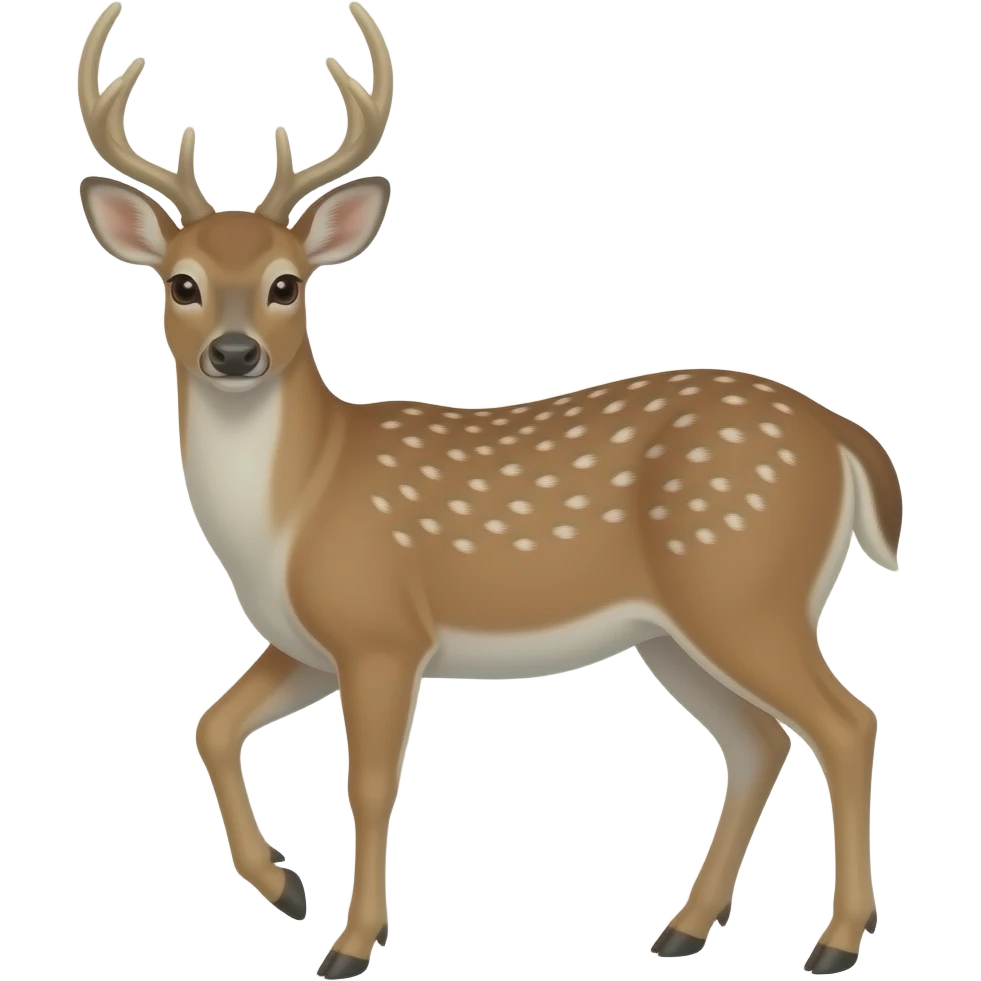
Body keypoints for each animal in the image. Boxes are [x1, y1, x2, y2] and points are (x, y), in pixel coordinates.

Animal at [76, 3, 900, 977]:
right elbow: (212, 722)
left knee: (844, 722)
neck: (296, 503)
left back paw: (835, 940)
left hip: (744, 588)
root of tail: (842, 436)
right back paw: (684, 928)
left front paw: (352, 940)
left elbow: (369, 783)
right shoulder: (309, 641)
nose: (233, 354)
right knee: (758, 740)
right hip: (676, 630)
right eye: (182, 283)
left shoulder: (381, 627)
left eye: (286, 283)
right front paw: (285, 885)